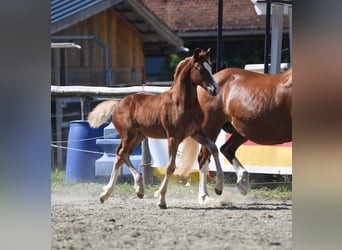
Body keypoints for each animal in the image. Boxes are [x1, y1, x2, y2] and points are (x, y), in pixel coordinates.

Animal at [87, 47, 223, 208]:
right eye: (201, 69)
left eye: (210, 67)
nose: (215, 89)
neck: (182, 103)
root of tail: (118, 103)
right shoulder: (173, 137)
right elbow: (170, 166)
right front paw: (161, 198)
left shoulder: (196, 132)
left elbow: (214, 148)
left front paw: (219, 188)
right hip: (128, 135)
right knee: (121, 153)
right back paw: (114, 192)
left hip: (138, 136)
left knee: (122, 155)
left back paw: (129, 190)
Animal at [178, 67, 292, 204]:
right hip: (210, 127)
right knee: (204, 157)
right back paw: (205, 196)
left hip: (243, 130)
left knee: (226, 149)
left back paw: (241, 181)